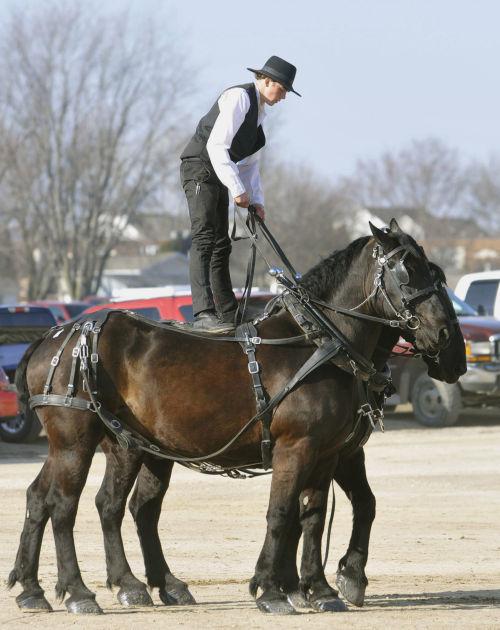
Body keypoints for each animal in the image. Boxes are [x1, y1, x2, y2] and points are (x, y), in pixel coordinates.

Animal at [9, 221, 466, 616]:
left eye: (436, 273)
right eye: (406, 272)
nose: (446, 337)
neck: (320, 342)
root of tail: (55, 337)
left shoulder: (329, 452)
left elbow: (314, 514)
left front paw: (318, 588)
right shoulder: (297, 448)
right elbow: (281, 514)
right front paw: (272, 589)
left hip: (126, 446)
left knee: (78, 501)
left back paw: (59, 588)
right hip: (76, 441)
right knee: (65, 505)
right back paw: (78, 592)